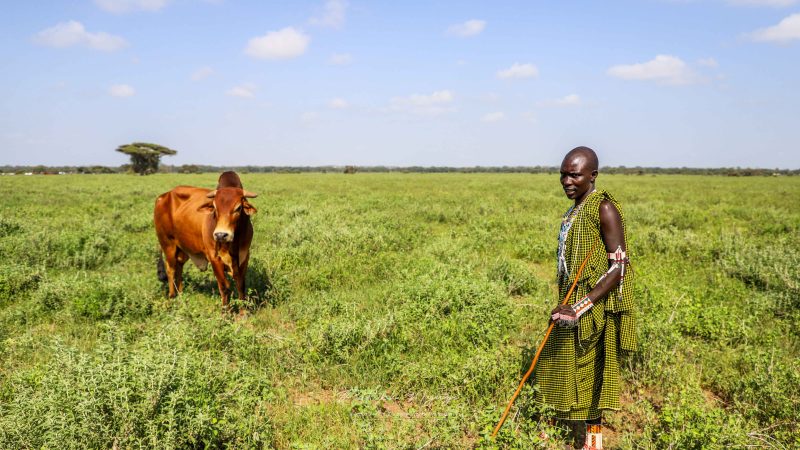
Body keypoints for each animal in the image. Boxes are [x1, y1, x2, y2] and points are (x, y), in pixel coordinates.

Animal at [155, 171, 258, 308]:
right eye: (215, 207)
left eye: (238, 208)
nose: (221, 235)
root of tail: (163, 196)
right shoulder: (214, 258)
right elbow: (224, 287)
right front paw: (225, 311)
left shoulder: (244, 256)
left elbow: (241, 286)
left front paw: (243, 311)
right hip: (168, 244)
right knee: (170, 269)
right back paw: (172, 296)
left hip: (182, 248)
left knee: (179, 267)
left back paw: (181, 294)